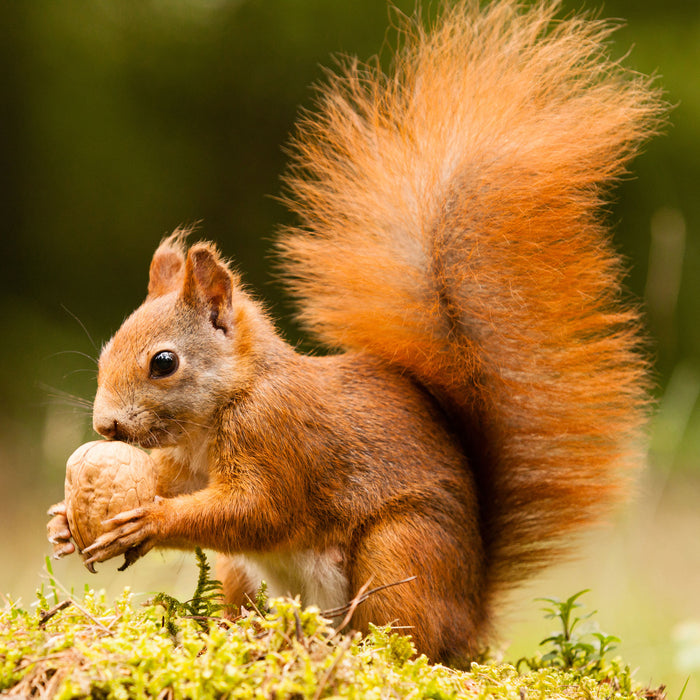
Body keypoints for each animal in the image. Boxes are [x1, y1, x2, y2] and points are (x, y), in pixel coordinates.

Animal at [46, 0, 664, 664]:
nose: (105, 426)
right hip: (250, 575)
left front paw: (151, 521)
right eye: (107, 350)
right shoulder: (186, 463)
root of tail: (471, 617)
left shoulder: (278, 437)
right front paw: (64, 520)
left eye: (164, 362)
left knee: (403, 637)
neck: (224, 406)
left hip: (401, 550)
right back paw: (248, 634)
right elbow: (173, 483)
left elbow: (258, 511)